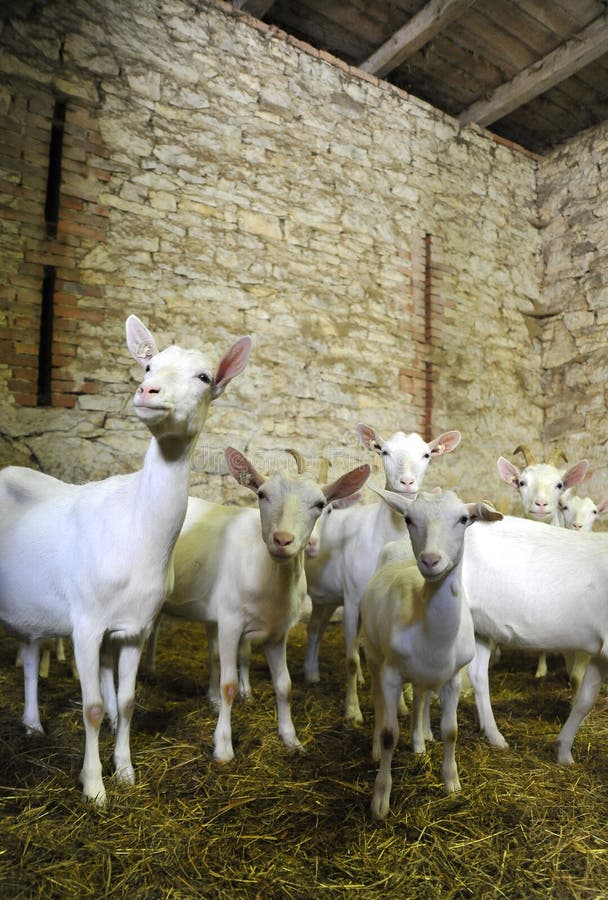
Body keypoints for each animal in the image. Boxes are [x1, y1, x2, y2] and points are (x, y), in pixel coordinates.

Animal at [152, 446, 370, 764]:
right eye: (262, 494)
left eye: (320, 504)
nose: (282, 539)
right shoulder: (230, 622)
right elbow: (228, 684)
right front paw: (223, 747)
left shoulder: (278, 632)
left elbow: (285, 685)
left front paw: (291, 739)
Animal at [302, 424, 458, 724]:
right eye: (384, 451)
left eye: (427, 454)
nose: (407, 482)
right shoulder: (352, 599)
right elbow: (351, 659)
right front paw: (353, 711)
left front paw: (404, 704)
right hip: (321, 596)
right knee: (315, 630)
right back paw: (311, 674)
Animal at [360, 488, 504, 820]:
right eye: (409, 519)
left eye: (464, 519)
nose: (430, 560)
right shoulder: (391, 672)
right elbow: (390, 733)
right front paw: (380, 800)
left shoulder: (452, 677)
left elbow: (450, 731)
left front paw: (452, 783)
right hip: (373, 655)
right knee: (379, 701)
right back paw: (376, 748)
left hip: (423, 674)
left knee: (421, 697)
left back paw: (420, 738)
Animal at [466, 516, 608, 764]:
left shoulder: (600, 652)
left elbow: (585, 700)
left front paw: (563, 752)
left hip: (479, 627)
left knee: (477, 674)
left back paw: (494, 736)